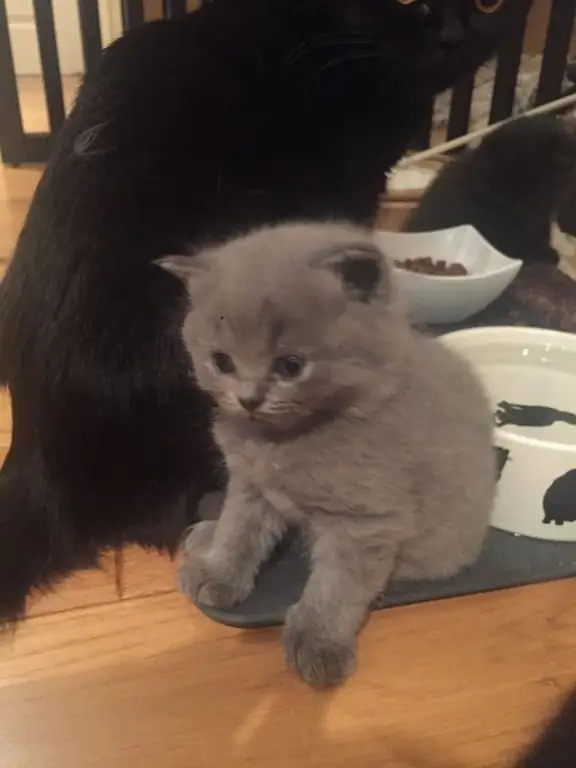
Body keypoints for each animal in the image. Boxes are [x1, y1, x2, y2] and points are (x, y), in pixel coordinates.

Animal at [160, 222, 498, 688]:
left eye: (290, 365)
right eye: (222, 361)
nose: (248, 399)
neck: (285, 440)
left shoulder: (366, 522)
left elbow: (337, 588)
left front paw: (318, 644)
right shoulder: (250, 486)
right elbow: (237, 531)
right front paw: (219, 572)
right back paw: (206, 534)